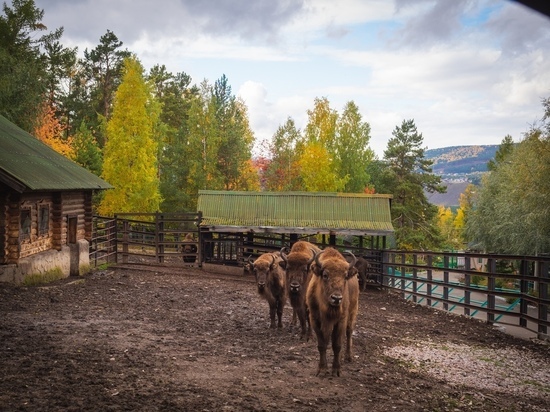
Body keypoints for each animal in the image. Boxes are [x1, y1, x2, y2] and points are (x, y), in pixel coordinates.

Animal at [306, 246, 362, 374]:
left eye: (345, 276)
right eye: (325, 275)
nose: (336, 298)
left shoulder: (341, 320)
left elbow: (337, 345)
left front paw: (336, 369)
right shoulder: (315, 319)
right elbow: (322, 344)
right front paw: (322, 369)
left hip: (353, 311)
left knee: (349, 332)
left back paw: (348, 357)